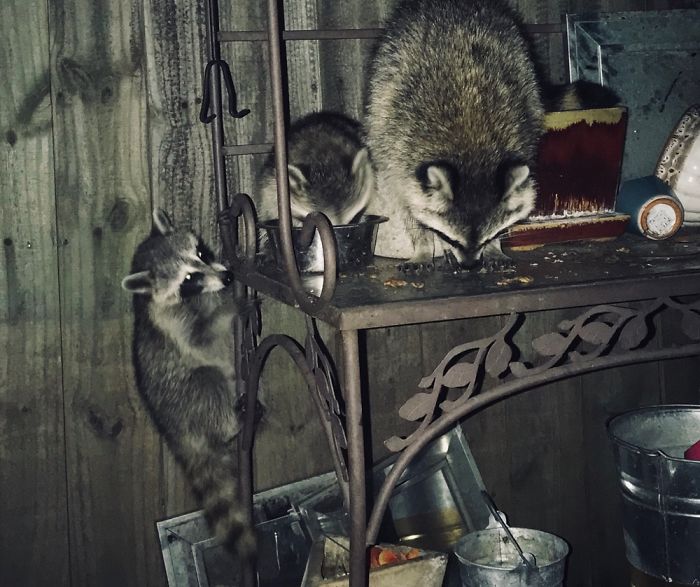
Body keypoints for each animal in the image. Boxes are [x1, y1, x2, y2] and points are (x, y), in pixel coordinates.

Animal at [121, 209, 256, 560]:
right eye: (189, 279)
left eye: (201, 253)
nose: (227, 279)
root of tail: (174, 431)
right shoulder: (176, 325)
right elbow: (204, 336)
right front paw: (230, 306)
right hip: (185, 397)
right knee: (208, 381)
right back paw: (231, 424)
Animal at [364, 0, 545, 268]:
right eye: (451, 238)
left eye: (485, 238)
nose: (469, 266)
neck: (474, 152)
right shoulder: (399, 148)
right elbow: (407, 203)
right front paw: (423, 245)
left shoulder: (524, 131)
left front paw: (495, 247)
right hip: (386, 73)